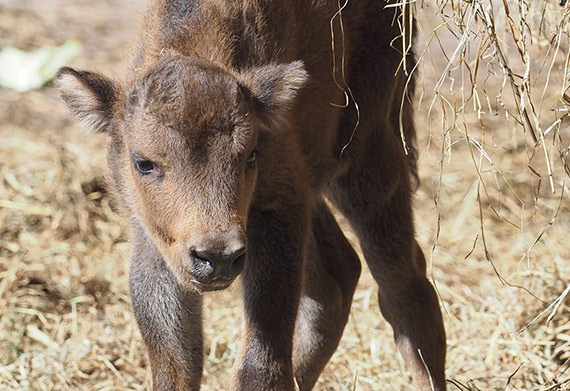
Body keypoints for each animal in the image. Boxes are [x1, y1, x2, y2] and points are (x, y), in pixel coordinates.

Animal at [56, 0, 444, 388]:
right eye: (143, 163)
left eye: (250, 155)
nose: (218, 257)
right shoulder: (154, 239)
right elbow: (176, 362)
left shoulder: (277, 211)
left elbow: (261, 359)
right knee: (337, 276)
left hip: (368, 157)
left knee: (404, 285)